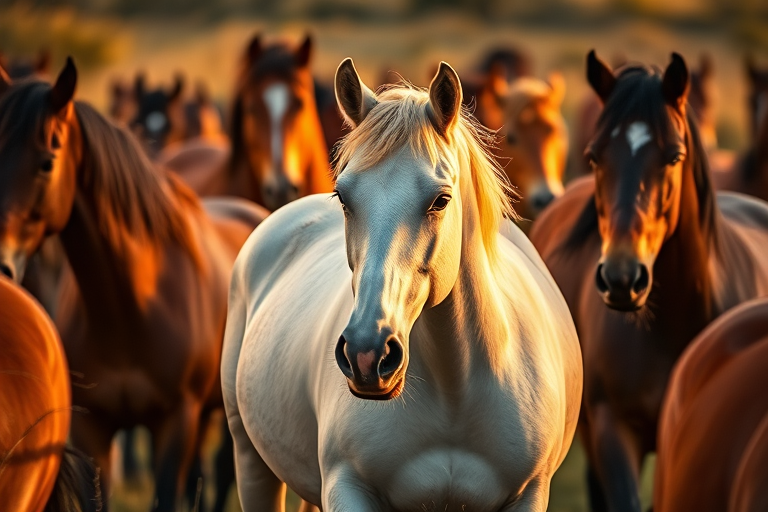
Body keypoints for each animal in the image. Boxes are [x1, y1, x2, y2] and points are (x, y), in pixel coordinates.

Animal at [222, 58, 582, 511]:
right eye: (343, 197)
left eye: (441, 200)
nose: (366, 353)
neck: (455, 388)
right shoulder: (348, 488)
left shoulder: (530, 493)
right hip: (250, 458)